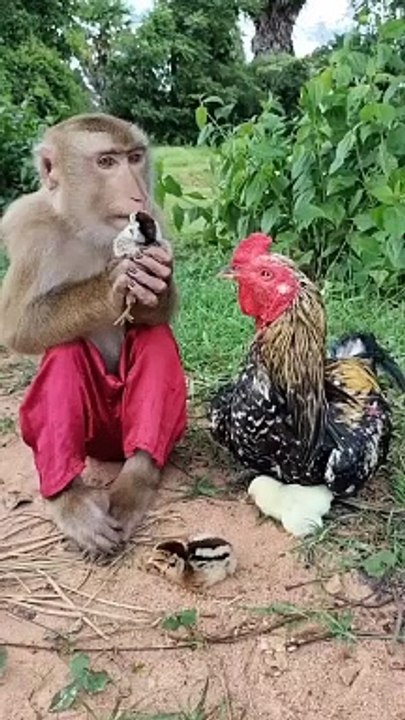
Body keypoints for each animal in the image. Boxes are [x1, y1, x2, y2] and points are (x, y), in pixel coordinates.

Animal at [0, 113, 188, 557]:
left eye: (134, 158)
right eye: (106, 162)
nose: (137, 196)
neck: (88, 230)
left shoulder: (158, 218)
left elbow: (157, 316)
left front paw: (155, 283)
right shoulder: (27, 227)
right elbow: (16, 326)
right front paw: (111, 286)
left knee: (154, 338)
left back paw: (137, 478)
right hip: (96, 439)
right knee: (63, 349)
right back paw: (69, 499)